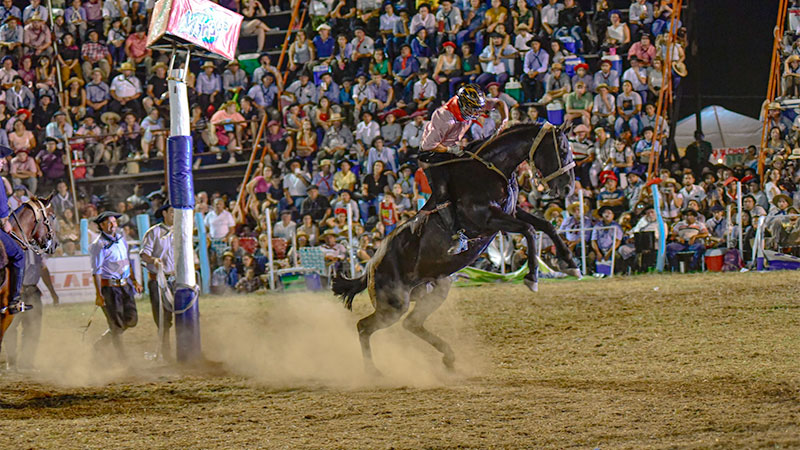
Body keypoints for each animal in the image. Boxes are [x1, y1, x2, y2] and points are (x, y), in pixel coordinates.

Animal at [332, 122, 579, 374]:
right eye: (562, 148)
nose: (568, 188)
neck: (489, 171)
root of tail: (371, 267)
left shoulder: (511, 212)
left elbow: (545, 225)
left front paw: (570, 263)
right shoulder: (486, 220)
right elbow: (529, 230)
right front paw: (532, 277)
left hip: (435, 290)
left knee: (411, 324)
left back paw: (448, 358)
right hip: (393, 305)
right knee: (364, 326)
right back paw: (373, 371)